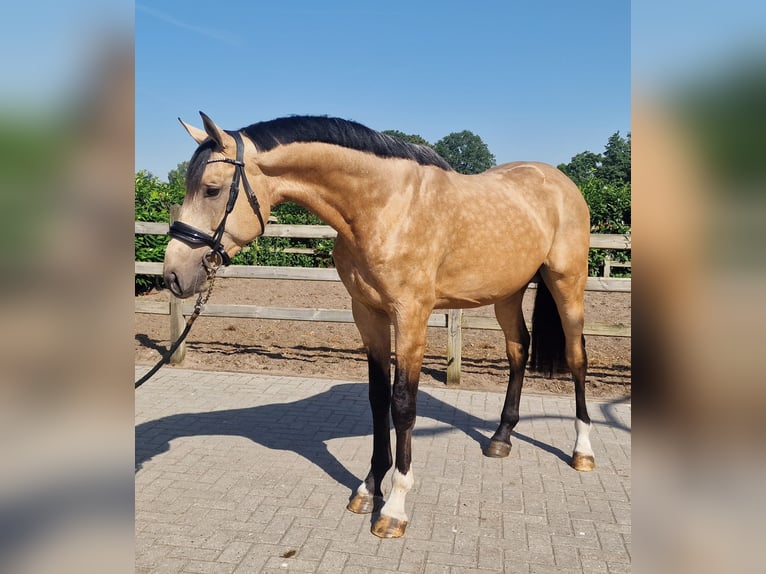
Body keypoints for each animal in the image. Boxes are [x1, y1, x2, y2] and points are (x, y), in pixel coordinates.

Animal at [163, 112, 595, 538]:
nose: (173, 275)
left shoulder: (411, 315)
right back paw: (501, 438)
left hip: (567, 284)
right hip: (508, 292)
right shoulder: (367, 313)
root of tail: (559, 181)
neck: (384, 208)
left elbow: (402, 404)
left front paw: (395, 507)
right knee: (518, 349)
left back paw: (583, 451)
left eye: (212, 190)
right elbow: (377, 399)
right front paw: (369, 488)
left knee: (577, 357)